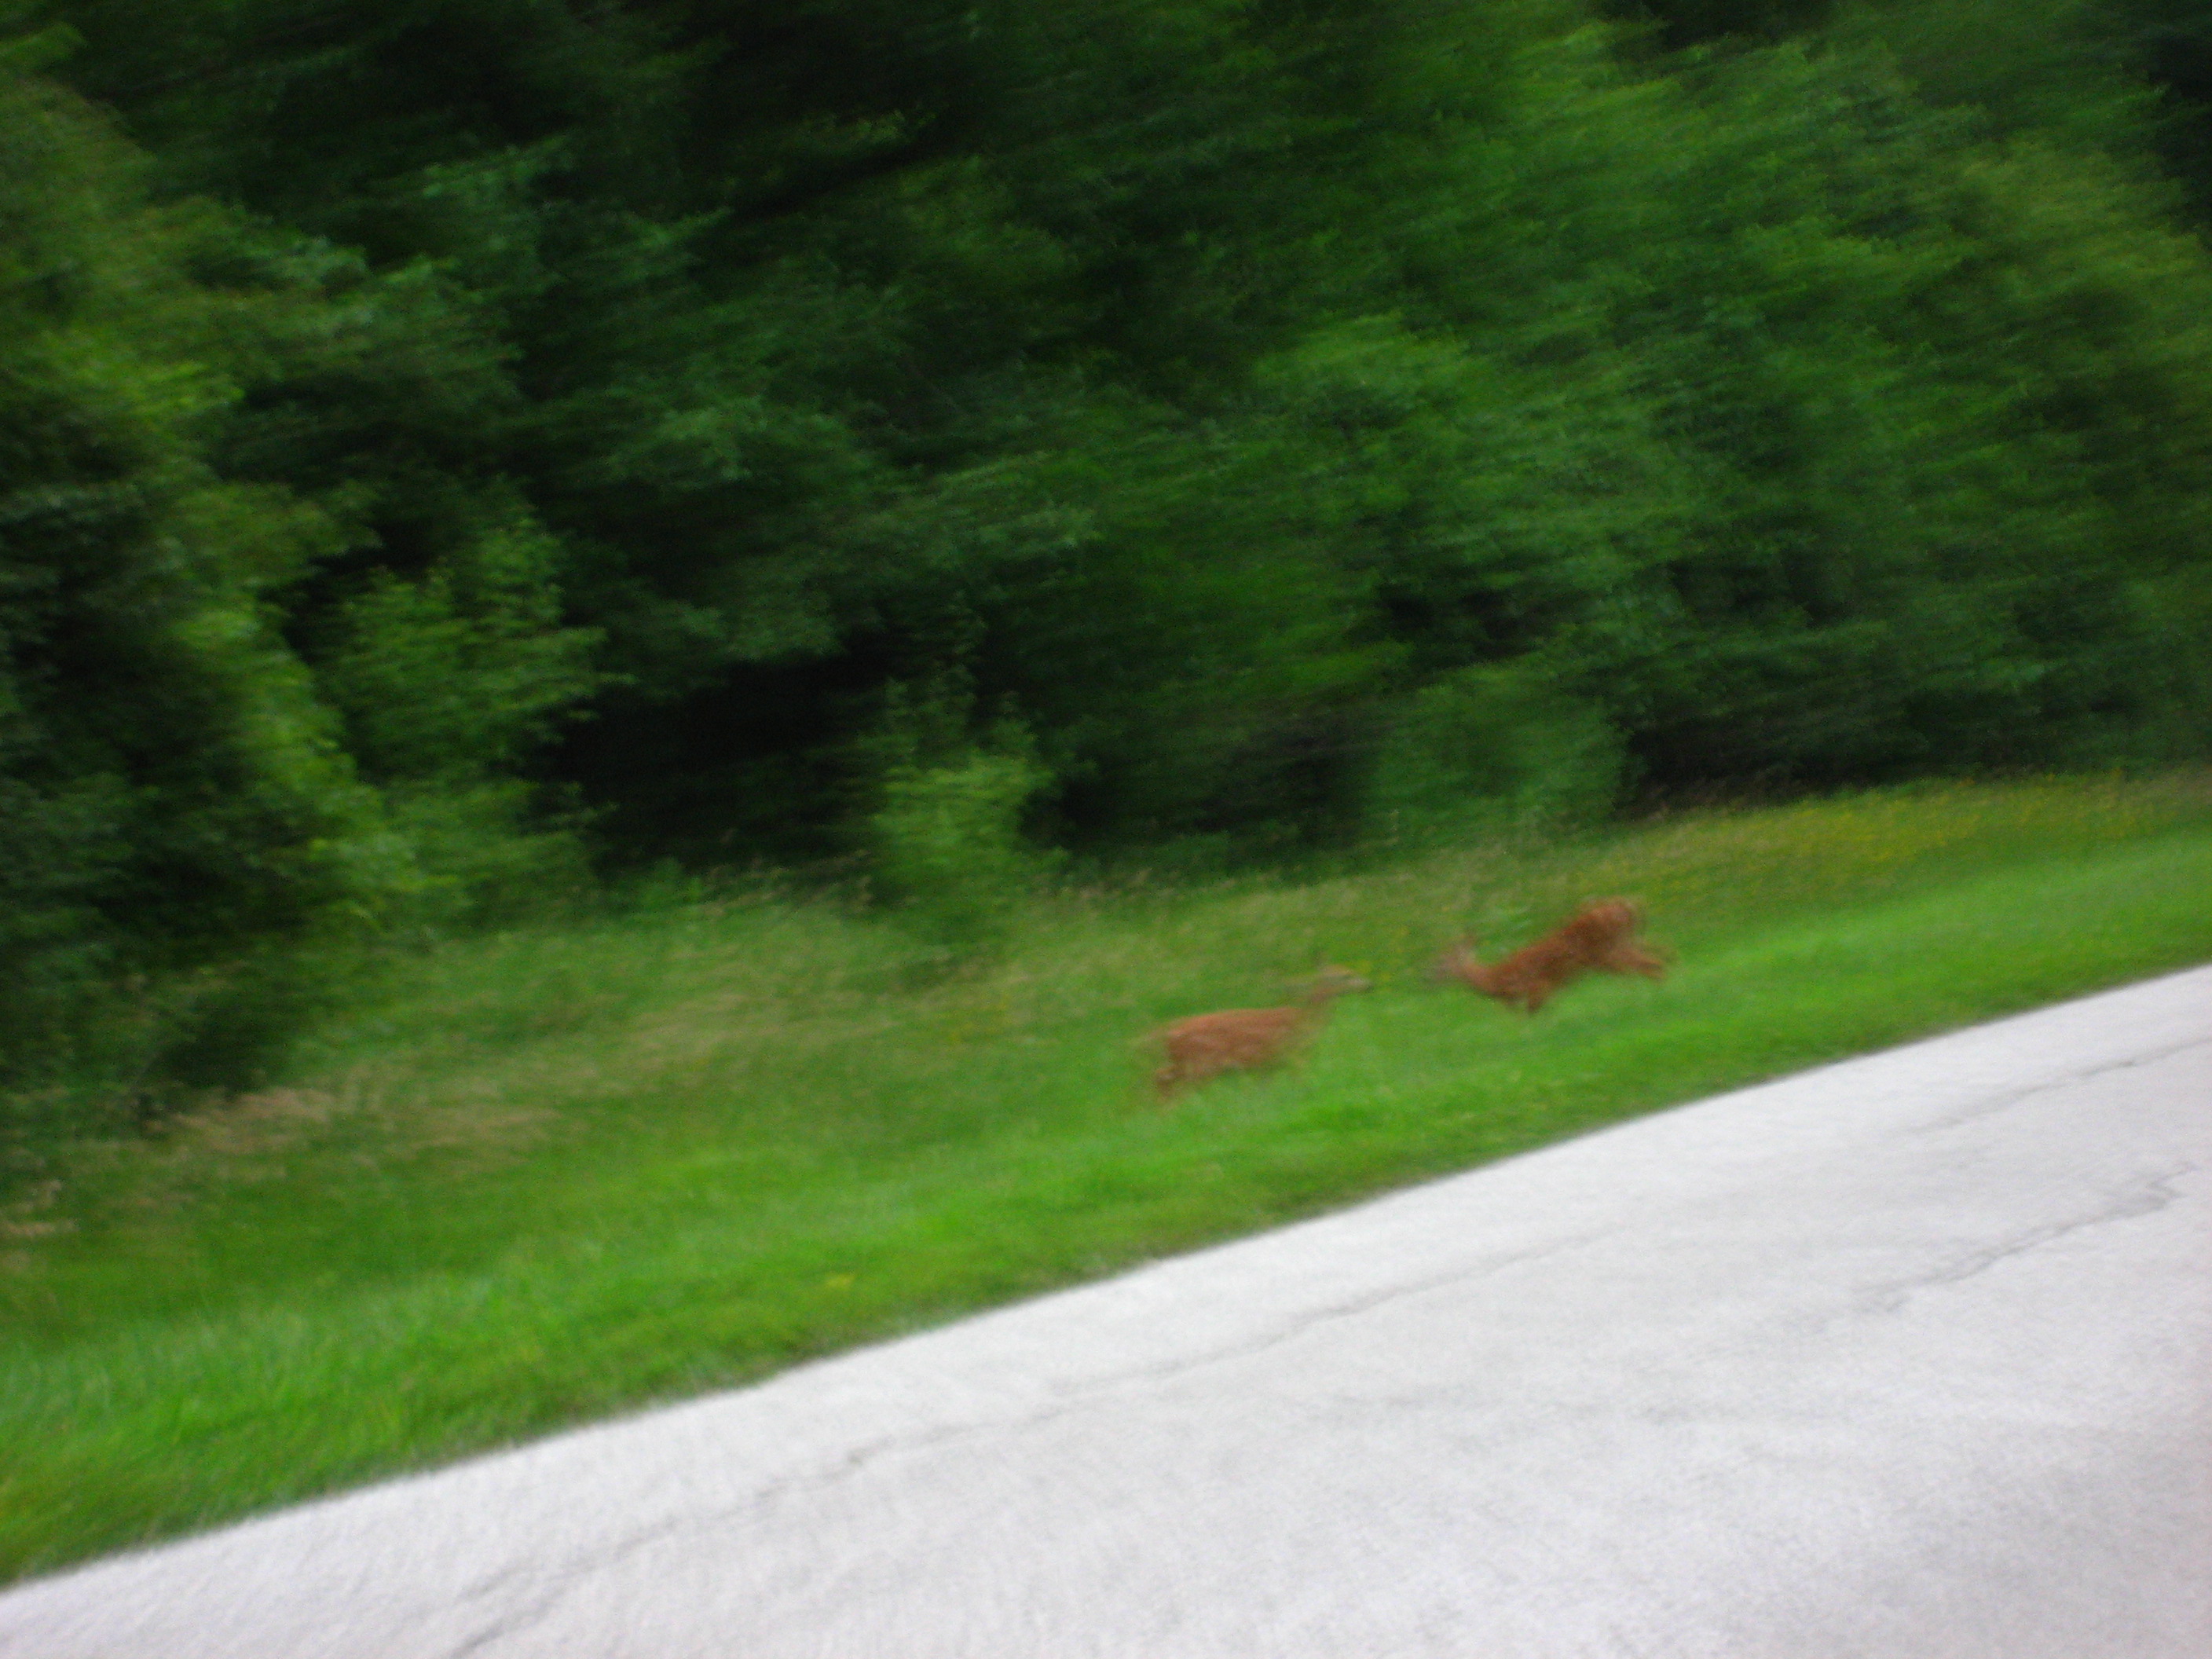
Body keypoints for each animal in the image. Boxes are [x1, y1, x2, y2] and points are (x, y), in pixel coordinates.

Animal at [1147, 965, 1372, 1103]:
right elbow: (1300, 1080)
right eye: (1346, 976)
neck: (1304, 1022)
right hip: (1200, 1066)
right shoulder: (1292, 1055)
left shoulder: (1268, 1065)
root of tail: (1168, 1034)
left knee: (1161, 1076)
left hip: (1188, 1065)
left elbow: (1264, 1091)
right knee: (1174, 1085)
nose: (1369, 985)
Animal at [1434, 898, 1665, 1015]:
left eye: (1441, 962)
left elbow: (1533, 1015)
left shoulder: (1539, 986)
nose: (1429, 978)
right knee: (1659, 959)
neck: (1496, 980)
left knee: (1652, 965)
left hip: (1611, 953)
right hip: (1628, 943)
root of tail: (1626, 905)